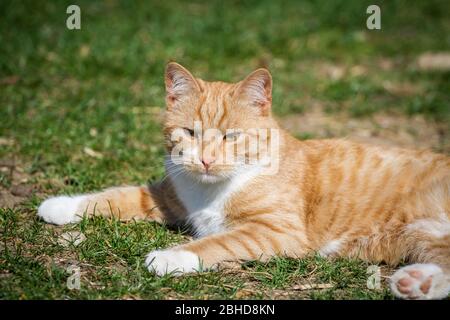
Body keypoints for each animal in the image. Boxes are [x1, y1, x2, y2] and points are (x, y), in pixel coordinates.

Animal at [38, 62, 450, 300]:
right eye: (190, 132)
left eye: (232, 136)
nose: (206, 159)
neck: (212, 189)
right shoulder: (167, 195)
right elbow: (117, 196)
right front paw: (60, 205)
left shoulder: (276, 232)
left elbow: (218, 241)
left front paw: (170, 256)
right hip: (424, 237)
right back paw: (416, 282)